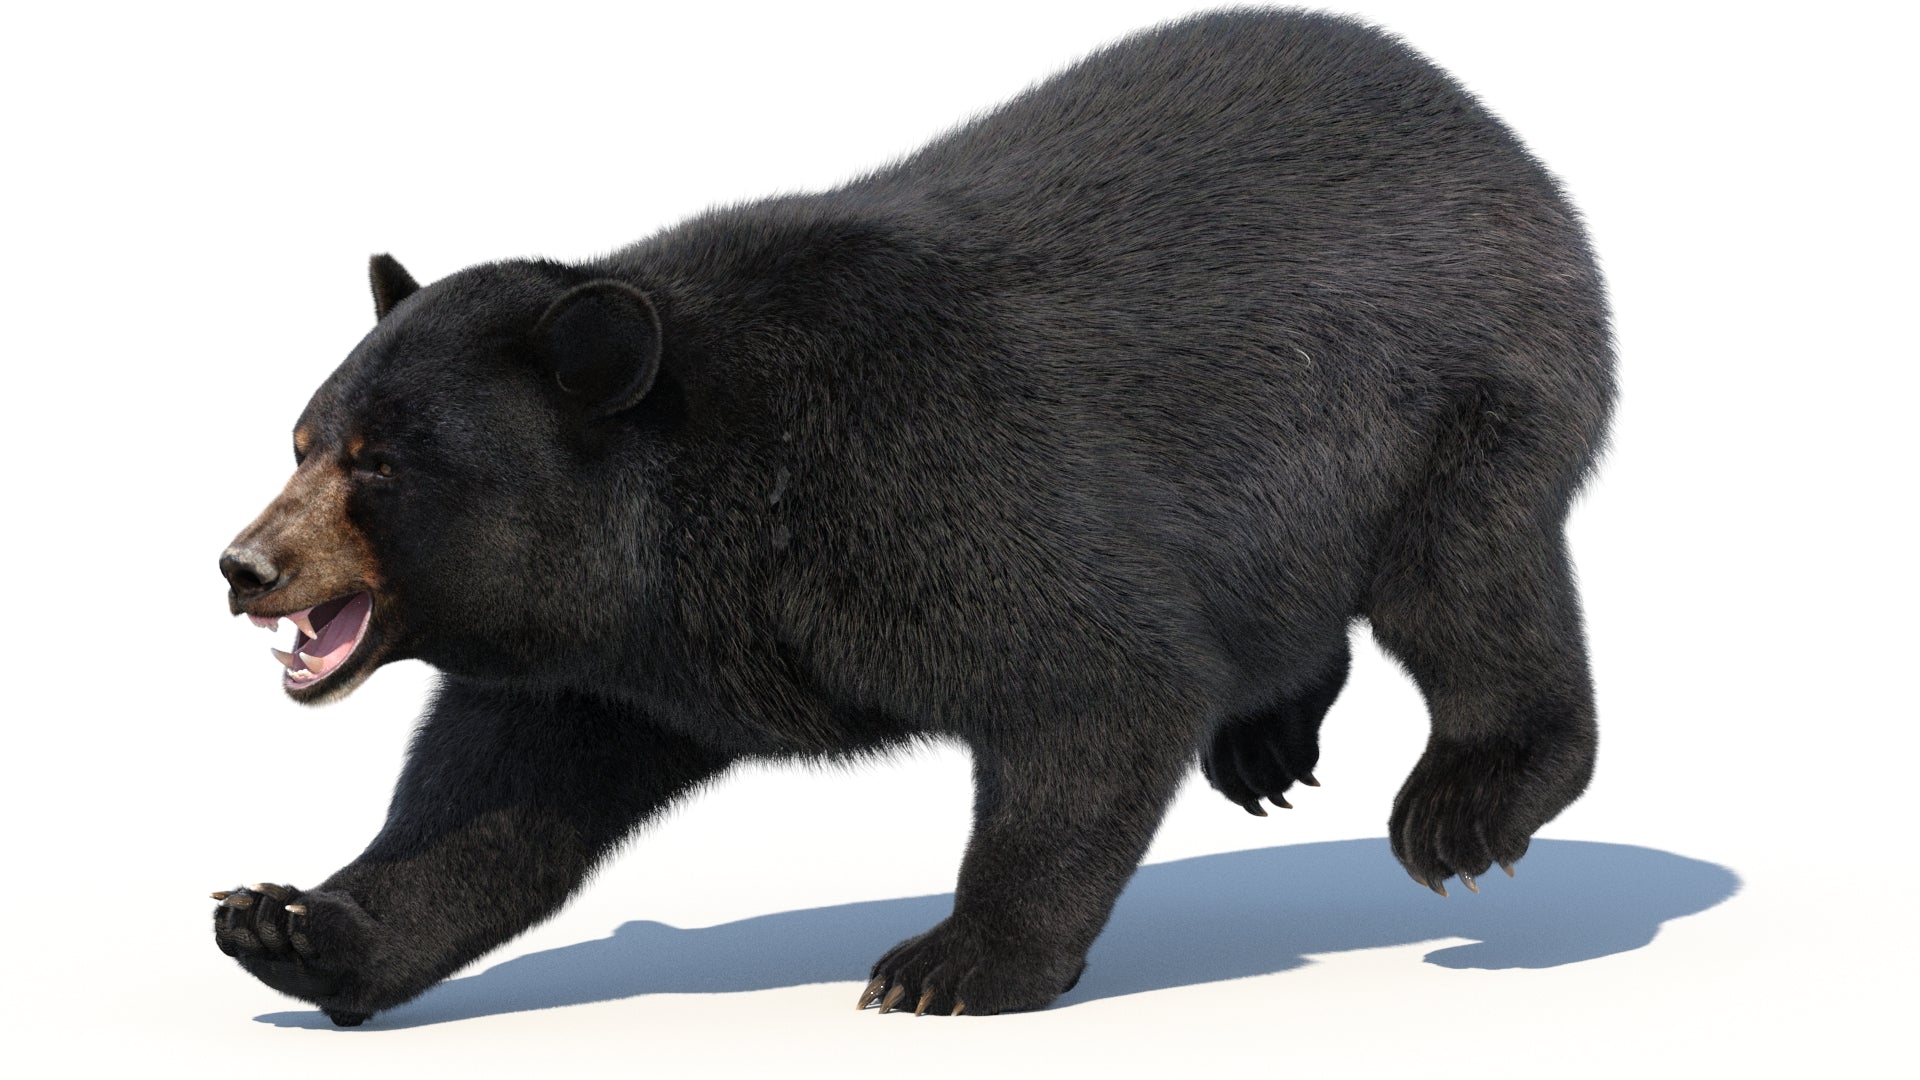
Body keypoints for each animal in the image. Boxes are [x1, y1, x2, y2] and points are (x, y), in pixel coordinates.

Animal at [212, 9, 1612, 1026]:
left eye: (379, 463)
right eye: (302, 441)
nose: (244, 564)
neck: (693, 516)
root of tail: (1492, 132)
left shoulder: (926, 488)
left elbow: (1099, 684)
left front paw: (953, 962)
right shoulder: (612, 661)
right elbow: (490, 800)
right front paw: (289, 924)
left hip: (1454, 399)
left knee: (1470, 584)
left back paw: (1466, 804)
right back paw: (1265, 740)